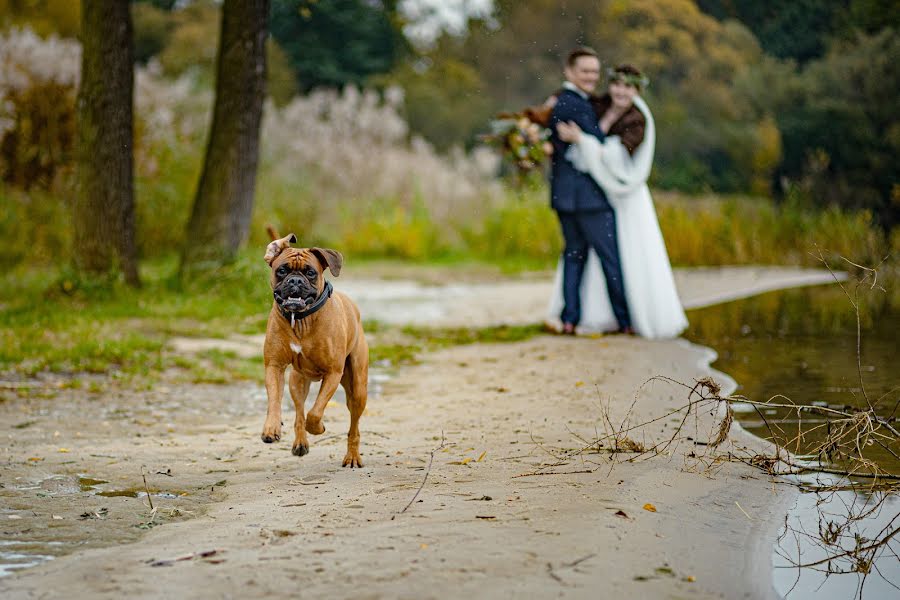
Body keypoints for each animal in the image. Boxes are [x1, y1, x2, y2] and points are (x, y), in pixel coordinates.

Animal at [260, 230, 370, 468]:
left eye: (310, 272)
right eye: (281, 270)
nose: (294, 280)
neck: (301, 320)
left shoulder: (333, 373)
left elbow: (316, 412)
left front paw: (318, 428)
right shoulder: (274, 366)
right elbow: (275, 401)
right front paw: (271, 428)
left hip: (357, 389)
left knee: (353, 427)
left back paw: (352, 456)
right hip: (297, 382)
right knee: (299, 411)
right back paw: (300, 443)